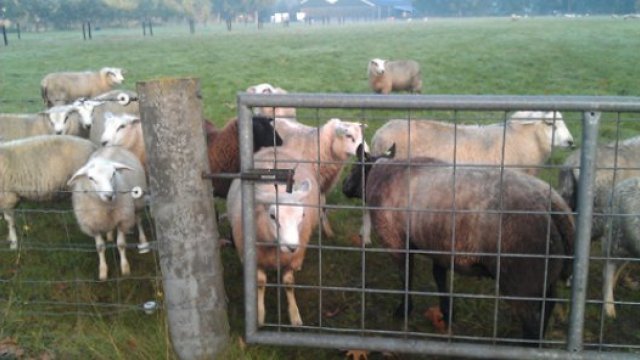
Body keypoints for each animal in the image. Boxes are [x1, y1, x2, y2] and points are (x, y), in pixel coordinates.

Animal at [228, 146, 322, 326]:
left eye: (302, 215)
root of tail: (274, 147)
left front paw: (294, 315)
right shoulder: (255, 257)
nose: (292, 247)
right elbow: (260, 283)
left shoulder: (291, 259)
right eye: (272, 216)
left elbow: (289, 283)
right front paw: (259, 315)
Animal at [344, 153, 576, 344]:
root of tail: (552, 203)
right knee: (548, 306)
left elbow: (406, 278)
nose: (344, 188)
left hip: (522, 280)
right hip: (545, 275)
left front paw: (404, 311)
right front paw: (447, 313)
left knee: (531, 325)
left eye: (355, 167)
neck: (381, 173)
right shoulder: (439, 248)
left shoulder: (396, 241)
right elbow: (439, 278)